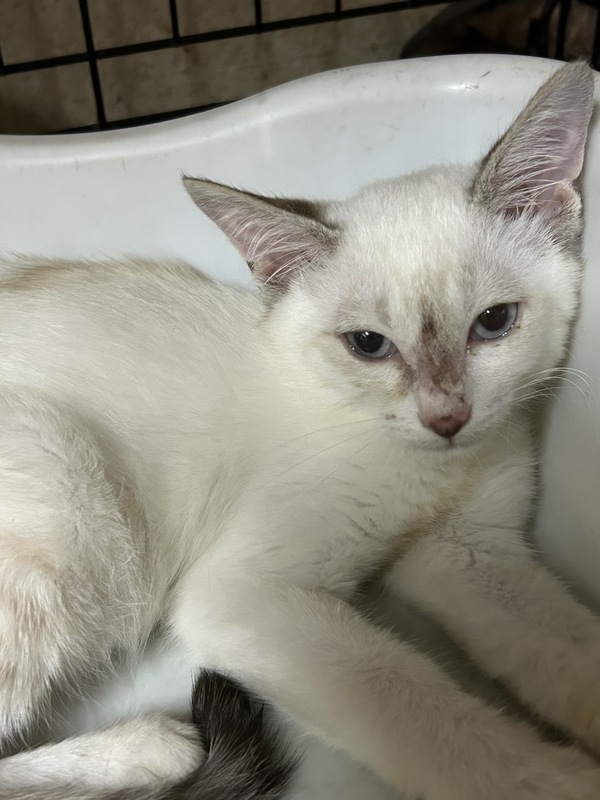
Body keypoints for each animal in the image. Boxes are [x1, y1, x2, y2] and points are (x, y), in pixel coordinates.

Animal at [0, 60, 598, 800]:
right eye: (368, 344)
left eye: (494, 323)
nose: (448, 417)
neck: (425, 467)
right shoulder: (242, 596)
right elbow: (416, 707)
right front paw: (559, 781)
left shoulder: (467, 552)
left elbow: (569, 648)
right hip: (65, 488)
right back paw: (145, 748)